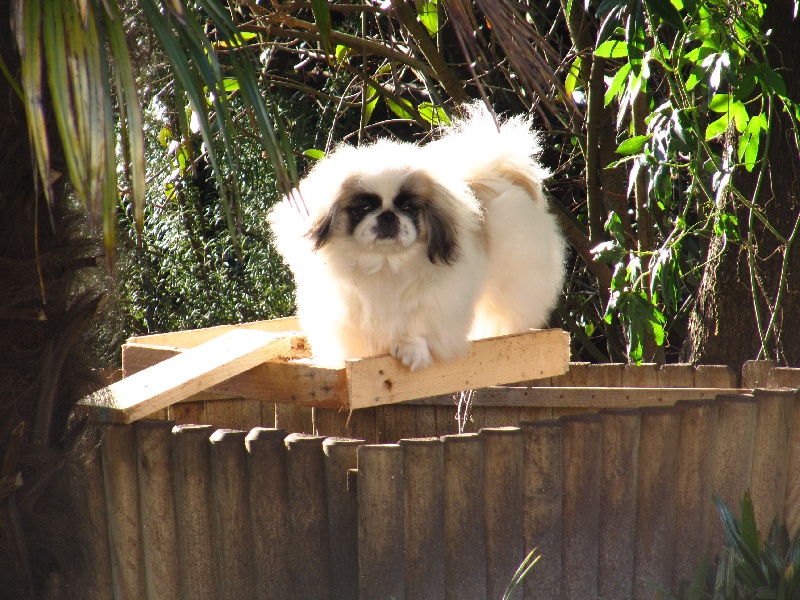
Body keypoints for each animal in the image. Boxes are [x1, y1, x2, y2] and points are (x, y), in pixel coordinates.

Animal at [267, 103, 565, 370]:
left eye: (408, 208)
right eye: (363, 208)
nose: (388, 216)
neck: (385, 265)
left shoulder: (437, 300)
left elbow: (417, 327)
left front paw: (412, 351)